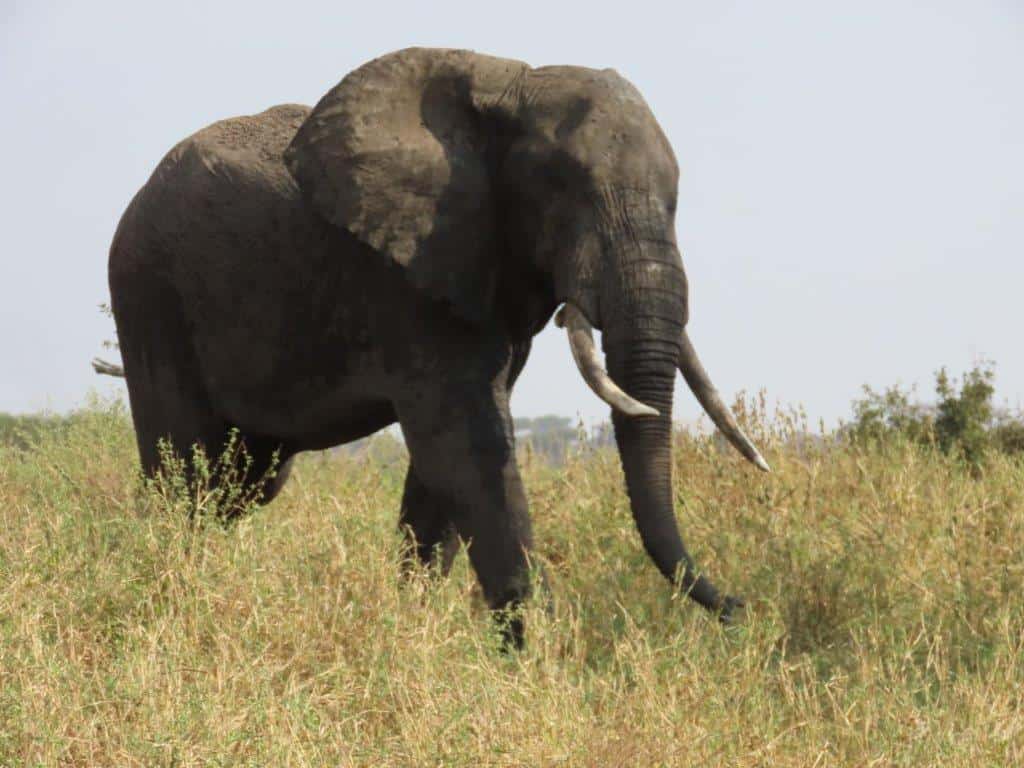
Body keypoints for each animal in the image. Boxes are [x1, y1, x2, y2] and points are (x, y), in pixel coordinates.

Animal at [105, 47, 769, 647]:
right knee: (183, 472)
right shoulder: (408, 277)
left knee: (240, 484)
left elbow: (443, 468)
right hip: (150, 290)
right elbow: (465, 445)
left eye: (676, 201)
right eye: (565, 192)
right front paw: (537, 661)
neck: (514, 87)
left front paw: (416, 633)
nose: (742, 608)